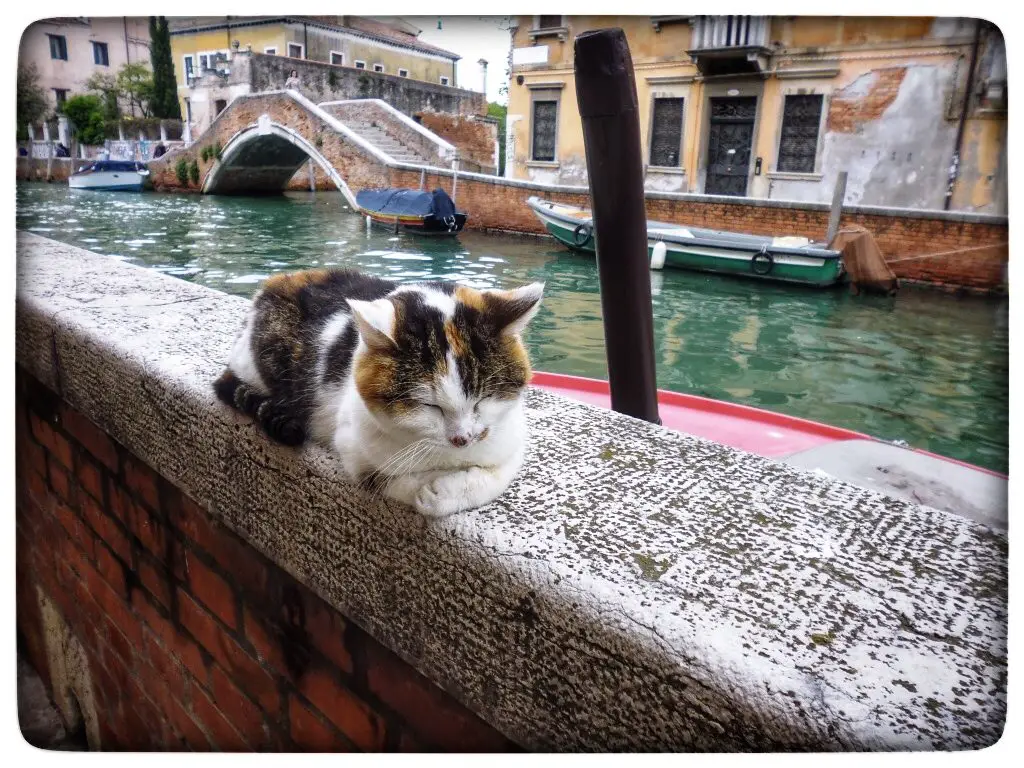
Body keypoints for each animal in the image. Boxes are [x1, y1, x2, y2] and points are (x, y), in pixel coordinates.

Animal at [214, 268, 544, 518]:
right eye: (429, 405)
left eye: (483, 398)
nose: (462, 439)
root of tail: (270, 286)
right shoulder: (354, 446)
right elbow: (390, 478)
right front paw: (431, 492)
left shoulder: (512, 442)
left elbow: (497, 475)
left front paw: (446, 489)